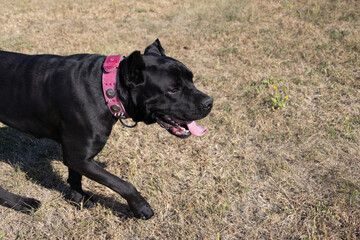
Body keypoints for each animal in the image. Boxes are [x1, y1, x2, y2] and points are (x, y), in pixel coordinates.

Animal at [0, 39, 212, 219]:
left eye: (191, 79)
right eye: (173, 90)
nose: (209, 102)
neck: (109, 89)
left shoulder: (78, 156)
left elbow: (75, 177)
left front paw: (78, 199)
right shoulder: (78, 156)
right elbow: (123, 184)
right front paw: (141, 208)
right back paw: (22, 203)